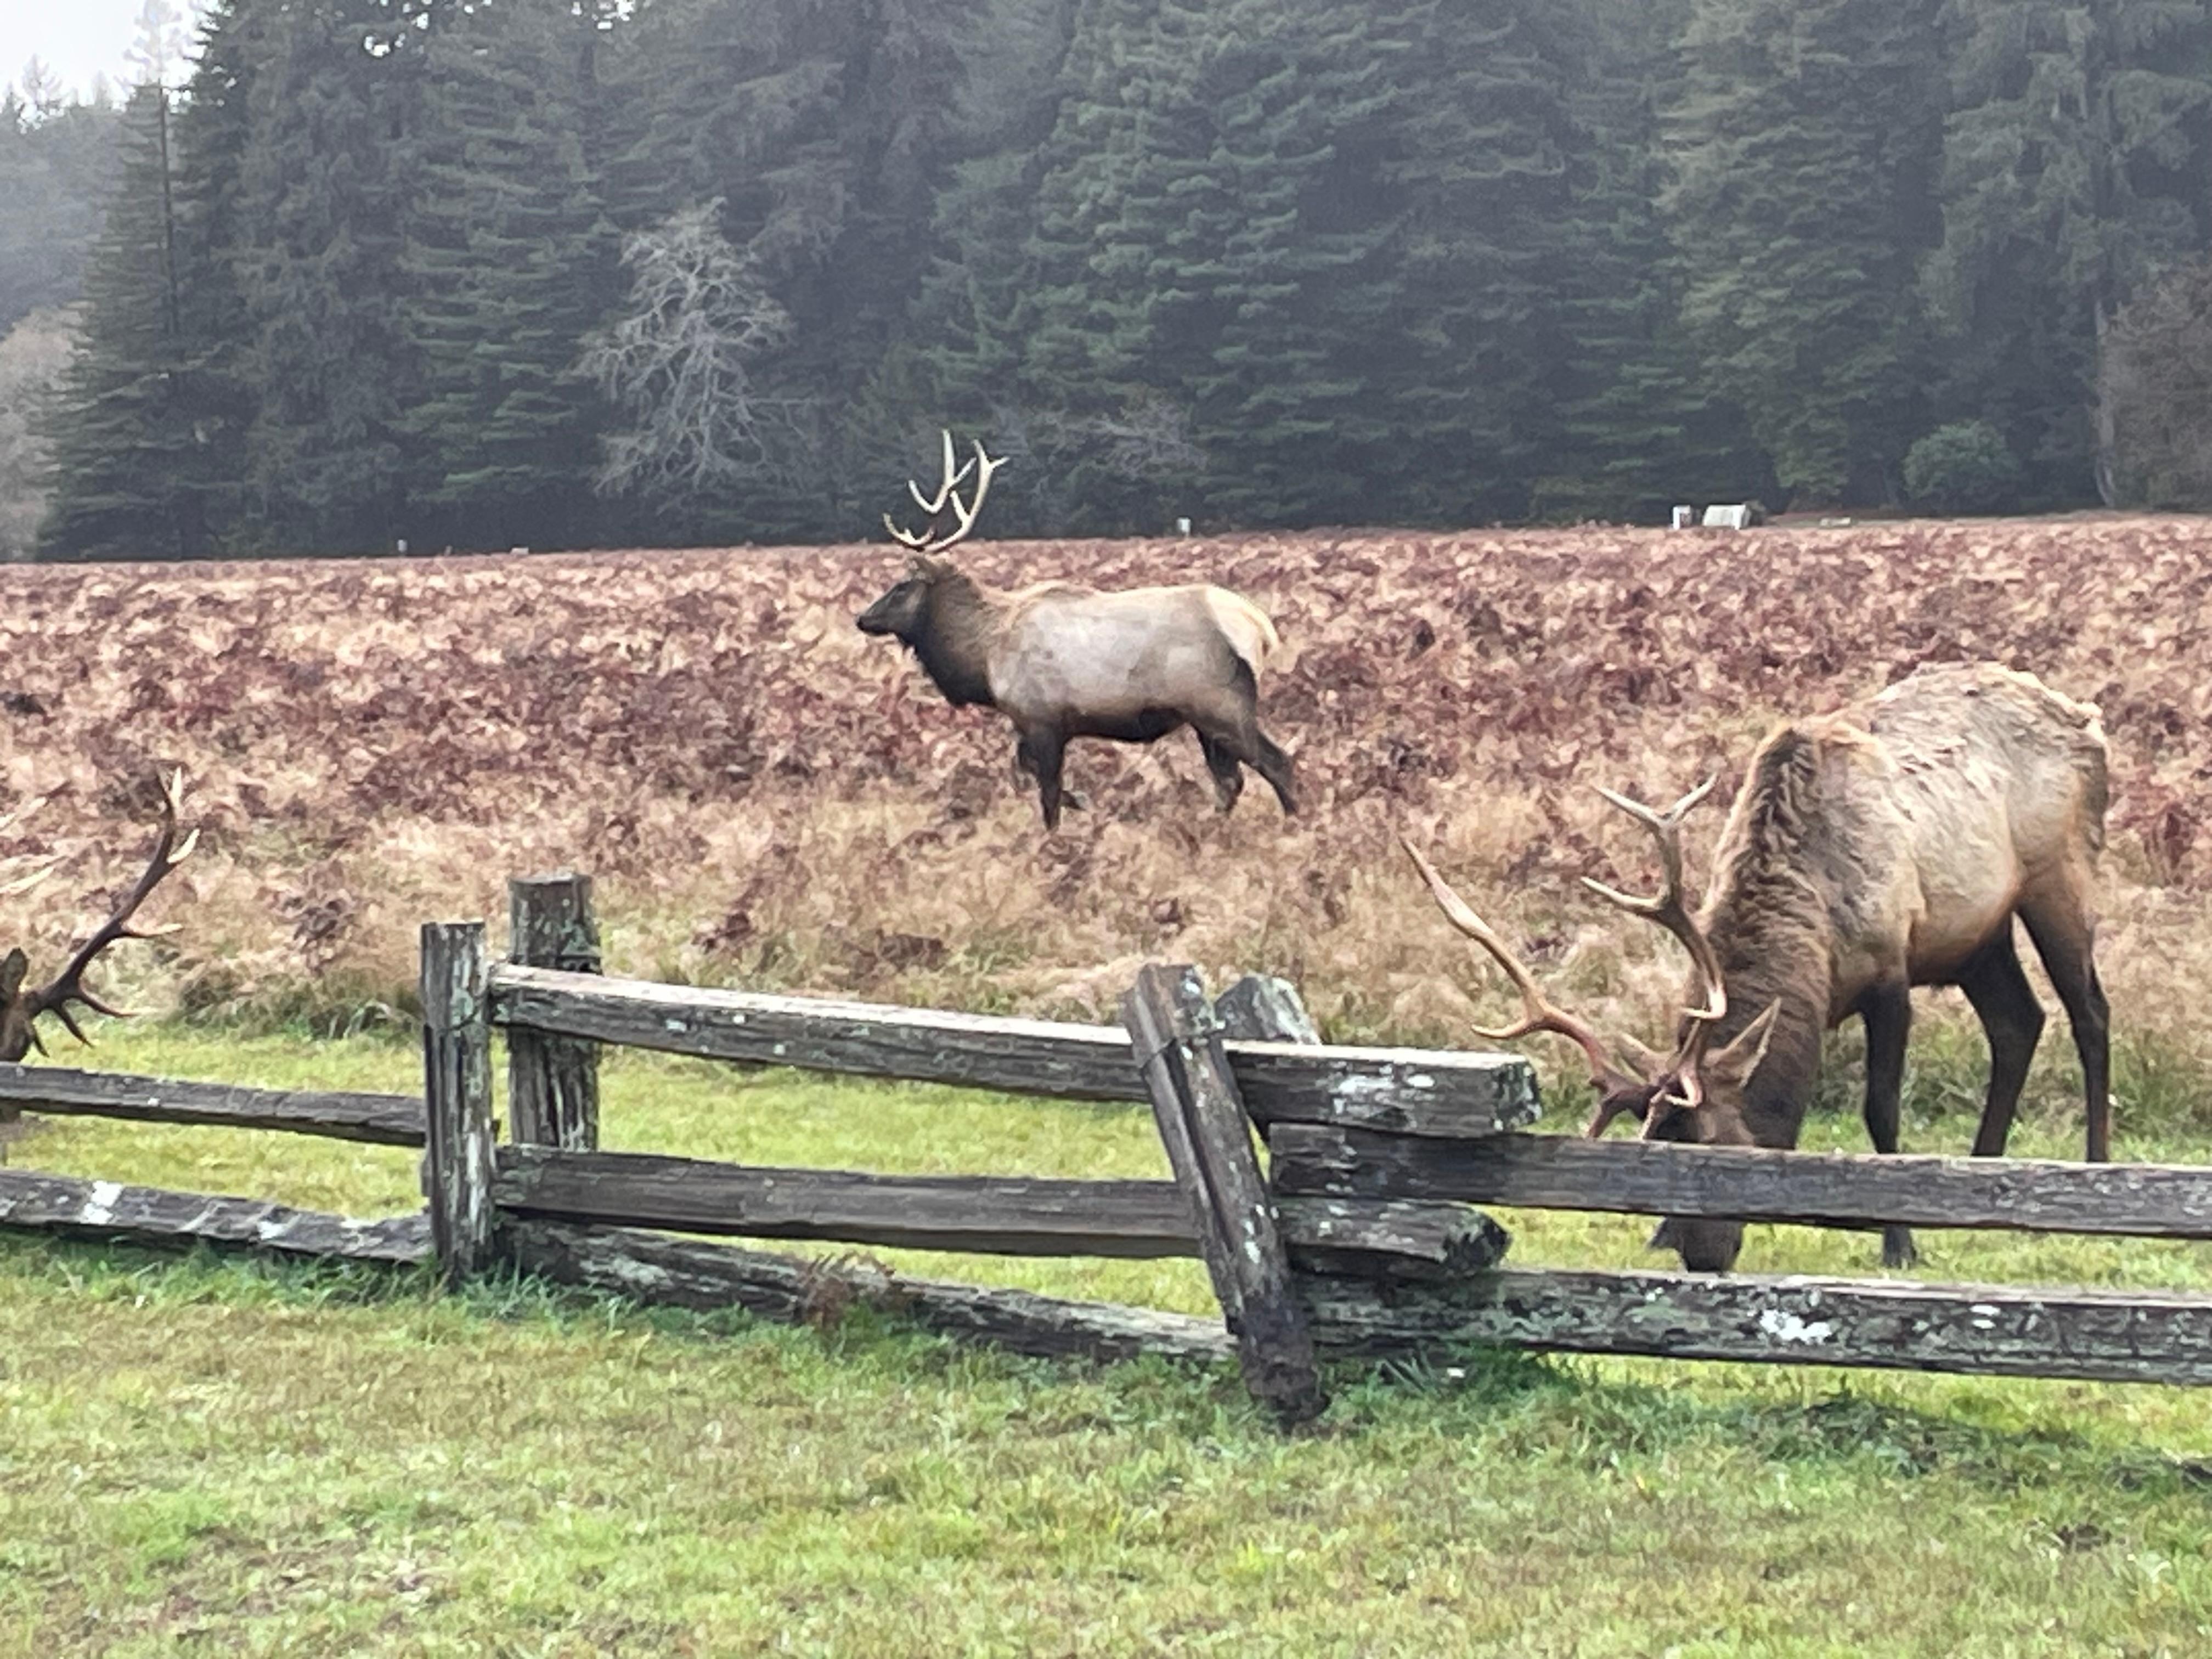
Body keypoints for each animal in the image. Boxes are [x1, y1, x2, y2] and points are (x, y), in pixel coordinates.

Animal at [855, 431, 1297, 830]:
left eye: (902, 586)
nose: (862, 618)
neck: (983, 659)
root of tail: (1260, 630)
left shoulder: (1042, 718)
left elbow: (1048, 792)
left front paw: (1059, 830)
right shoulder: (1034, 724)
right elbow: (1028, 770)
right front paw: (1081, 802)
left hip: (1219, 705)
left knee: (1276, 763)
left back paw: (1295, 825)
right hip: (1204, 719)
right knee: (1230, 780)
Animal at [1401, 662, 2111, 1274]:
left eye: (1720, 1147)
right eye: (1658, 1155)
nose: (1702, 1256)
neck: (1818, 933)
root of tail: (2086, 717)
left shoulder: (1891, 967)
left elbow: (1881, 1109)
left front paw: (1899, 1240)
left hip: (2059, 874)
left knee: (2089, 1013)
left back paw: (2095, 1164)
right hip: (1976, 935)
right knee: (2019, 1022)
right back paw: (1983, 1172)